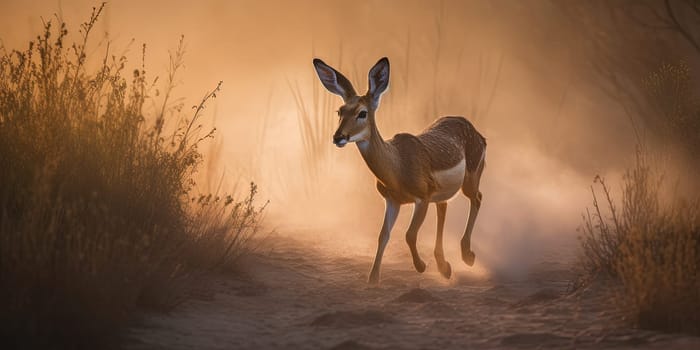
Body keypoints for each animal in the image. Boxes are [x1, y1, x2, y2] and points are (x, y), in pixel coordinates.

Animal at [314, 56, 486, 284]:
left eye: (362, 112)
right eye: (340, 111)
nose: (338, 137)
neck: (397, 167)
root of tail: (478, 133)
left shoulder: (422, 198)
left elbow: (409, 234)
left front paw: (421, 266)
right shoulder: (392, 200)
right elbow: (383, 235)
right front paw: (373, 278)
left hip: (470, 180)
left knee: (477, 198)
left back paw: (468, 256)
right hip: (443, 193)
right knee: (444, 207)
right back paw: (445, 267)